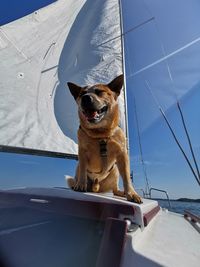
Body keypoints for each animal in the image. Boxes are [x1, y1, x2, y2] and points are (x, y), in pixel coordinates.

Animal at [67, 74, 142, 204]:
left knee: (114, 190)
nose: (85, 98)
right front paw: (80, 185)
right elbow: (83, 170)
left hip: (115, 171)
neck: (100, 134)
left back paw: (121, 192)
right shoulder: (82, 152)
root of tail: (96, 186)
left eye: (99, 92)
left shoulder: (122, 154)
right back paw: (79, 185)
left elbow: (127, 178)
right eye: (82, 94)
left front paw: (131, 193)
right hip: (78, 170)